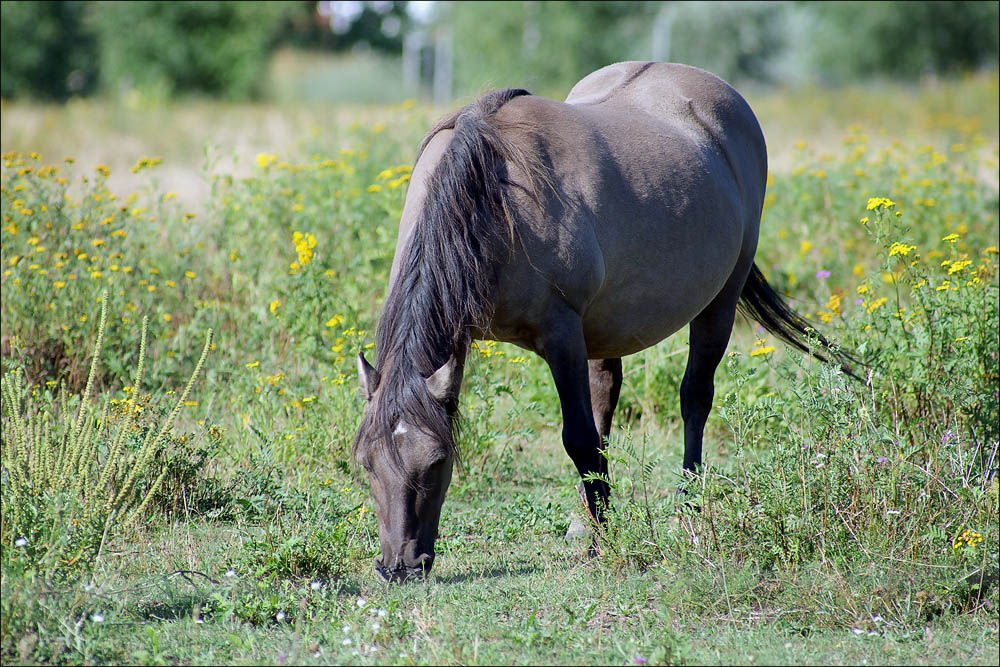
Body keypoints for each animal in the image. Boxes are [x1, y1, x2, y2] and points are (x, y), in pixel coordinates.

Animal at [352, 64, 852, 584]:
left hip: (720, 302)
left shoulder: (562, 336)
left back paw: (688, 511)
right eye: (365, 463)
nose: (398, 567)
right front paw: (595, 525)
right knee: (606, 397)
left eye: (437, 461)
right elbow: (592, 434)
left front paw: (604, 542)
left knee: (694, 398)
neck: (495, 196)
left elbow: (578, 437)